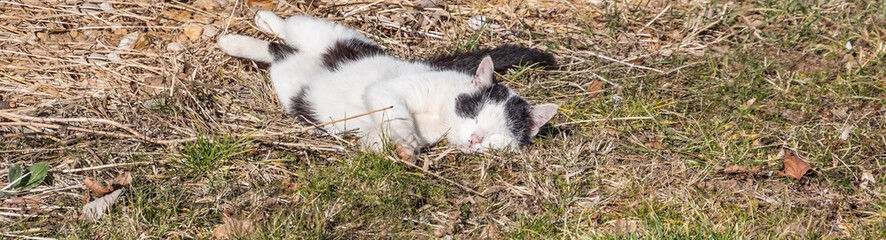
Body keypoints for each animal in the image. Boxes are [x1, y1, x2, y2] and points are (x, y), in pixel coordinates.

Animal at [218, 11, 560, 157]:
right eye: (474, 113)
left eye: (499, 134)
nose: (475, 139)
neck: (440, 117)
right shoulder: (394, 90)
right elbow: (395, 109)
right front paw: (406, 137)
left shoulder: (369, 129)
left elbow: (378, 138)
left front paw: (403, 149)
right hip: (324, 32)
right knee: (288, 27)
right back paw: (250, 27)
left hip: (292, 81)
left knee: (277, 51)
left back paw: (241, 42)